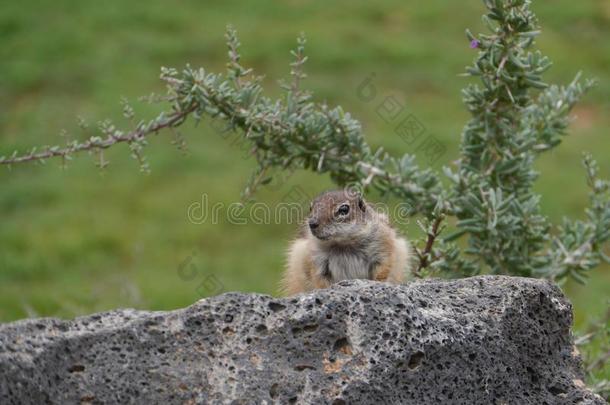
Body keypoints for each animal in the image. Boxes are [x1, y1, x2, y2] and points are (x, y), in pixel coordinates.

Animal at [280, 189, 408, 294]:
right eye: (311, 208)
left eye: (344, 209)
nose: (312, 223)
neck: (344, 244)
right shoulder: (316, 261)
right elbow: (319, 279)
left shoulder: (383, 247)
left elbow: (383, 269)